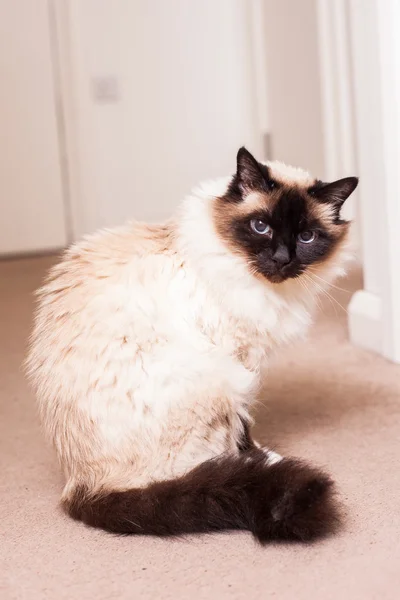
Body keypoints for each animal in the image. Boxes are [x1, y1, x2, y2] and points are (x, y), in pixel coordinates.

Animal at [26, 146, 358, 544]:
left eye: (307, 236)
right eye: (261, 227)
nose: (282, 259)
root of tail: (81, 488)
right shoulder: (240, 358)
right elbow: (244, 429)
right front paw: (258, 456)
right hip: (221, 380)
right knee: (198, 472)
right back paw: (252, 466)